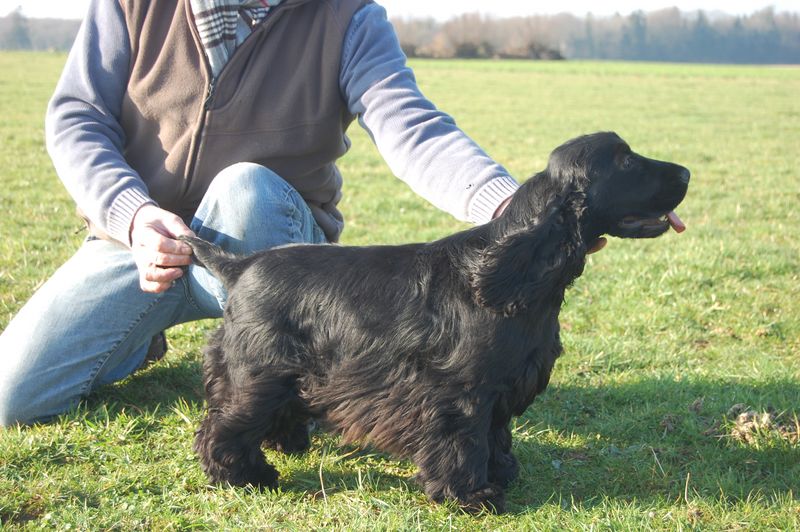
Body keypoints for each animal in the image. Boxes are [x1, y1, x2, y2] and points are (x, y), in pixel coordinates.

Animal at [181, 131, 689, 513]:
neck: (512, 274)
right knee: (221, 428)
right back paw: (249, 475)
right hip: (259, 373)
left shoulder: (501, 387)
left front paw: (503, 473)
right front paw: (472, 495)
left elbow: (496, 435)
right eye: (625, 161)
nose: (686, 172)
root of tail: (240, 266)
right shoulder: (460, 391)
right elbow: (466, 440)